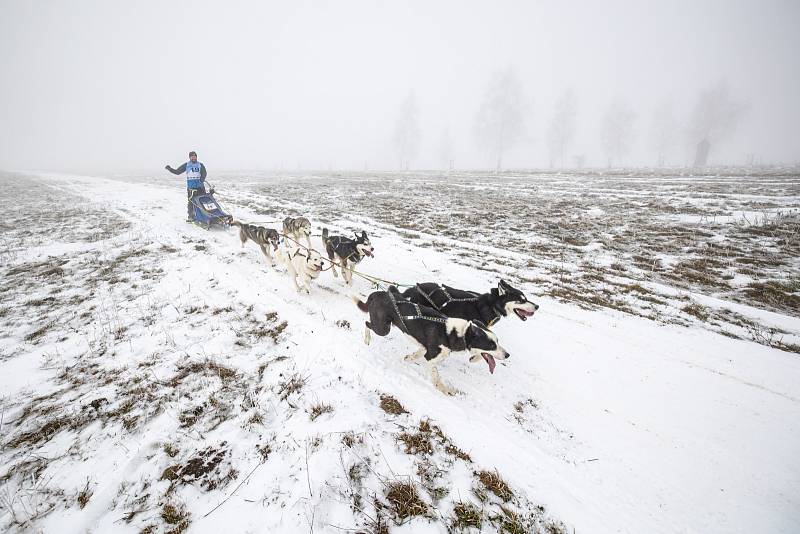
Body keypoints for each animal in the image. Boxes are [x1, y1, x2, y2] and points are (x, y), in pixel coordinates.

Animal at [354, 286, 510, 396]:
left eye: (497, 341)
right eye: (491, 345)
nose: (508, 355)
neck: (454, 333)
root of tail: (378, 294)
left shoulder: (425, 347)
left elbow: (416, 354)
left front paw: (408, 358)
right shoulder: (431, 357)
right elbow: (436, 378)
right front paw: (445, 390)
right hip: (383, 328)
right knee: (366, 323)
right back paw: (367, 339)